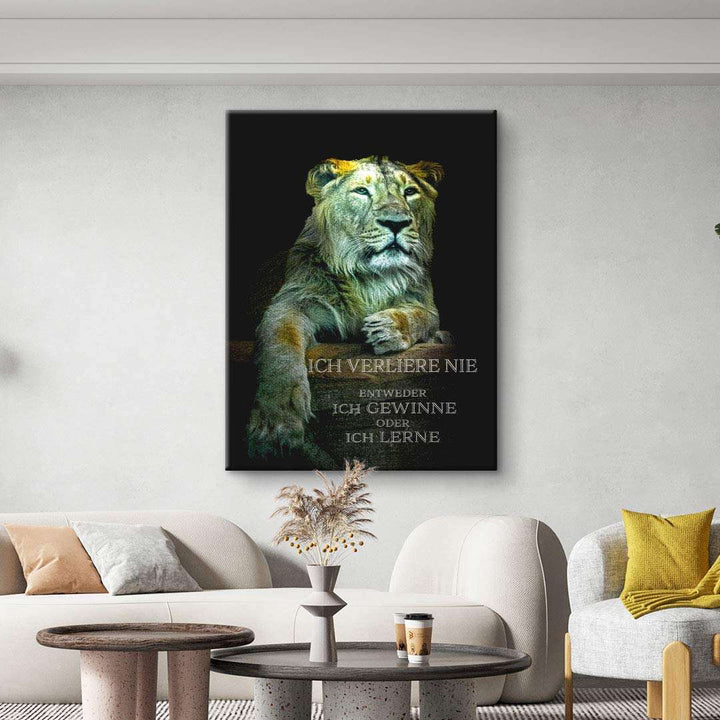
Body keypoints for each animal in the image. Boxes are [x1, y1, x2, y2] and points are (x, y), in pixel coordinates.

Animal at [247, 155, 448, 460]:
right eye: (362, 192)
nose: (396, 223)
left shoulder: (423, 303)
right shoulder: (294, 302)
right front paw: (277, 422)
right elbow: (280, 345)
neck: (371, 277)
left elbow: (421, 317)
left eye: (410, 192)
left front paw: (387, 328)